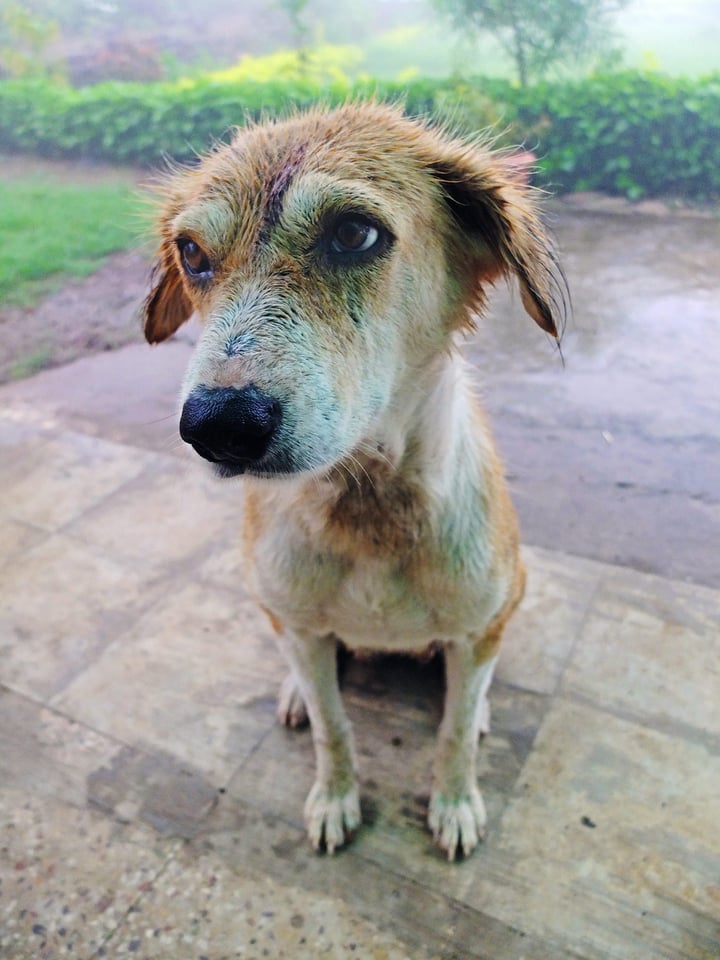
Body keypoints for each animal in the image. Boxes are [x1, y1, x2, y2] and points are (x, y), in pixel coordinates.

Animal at [143, 101, 564, 860]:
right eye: (191, 253)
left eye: (354, 233)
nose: (218, 426)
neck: (368, 508)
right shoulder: (300, 627)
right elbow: (334, 727)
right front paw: (335, 798)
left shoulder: (477, 627)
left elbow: (455, 733)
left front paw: (455, 803)